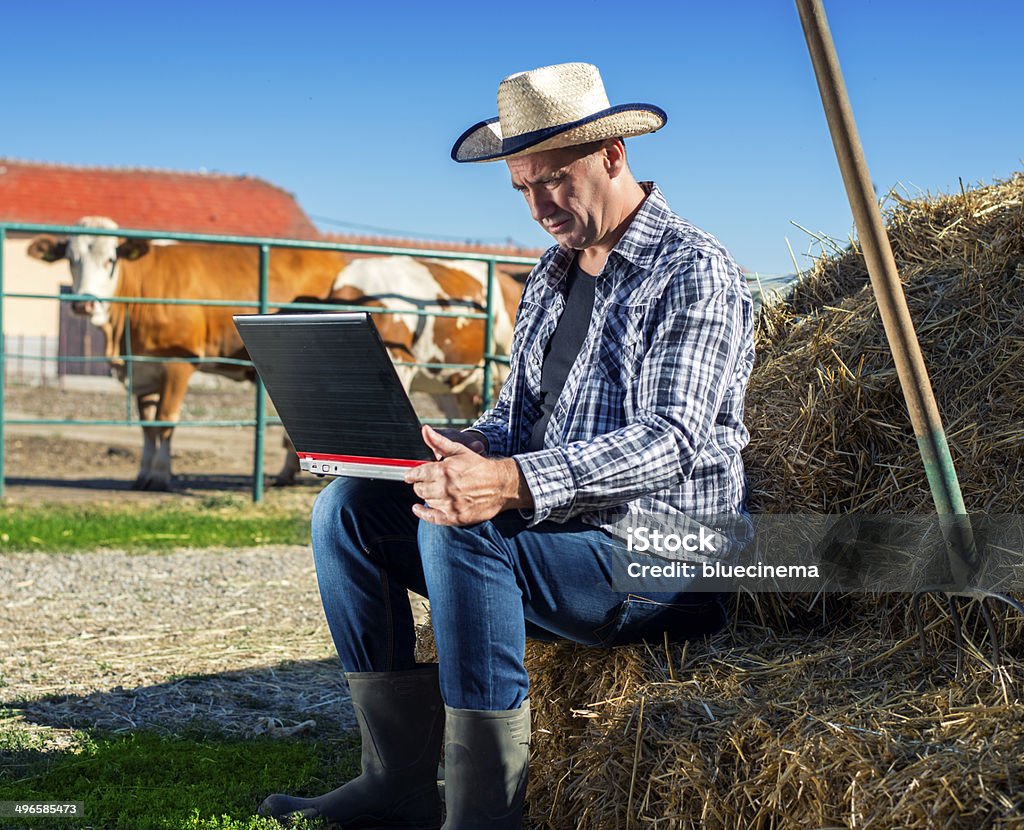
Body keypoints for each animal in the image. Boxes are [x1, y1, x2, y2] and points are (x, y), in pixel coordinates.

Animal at [28, 221, 524, 489]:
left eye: (111, 260)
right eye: (70, 258)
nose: (84, 303)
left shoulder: (177, 364)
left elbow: (164, 424)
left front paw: (160, 478)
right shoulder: (143, 369)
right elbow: (148, 427)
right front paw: (145, 474)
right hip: (448, 383)